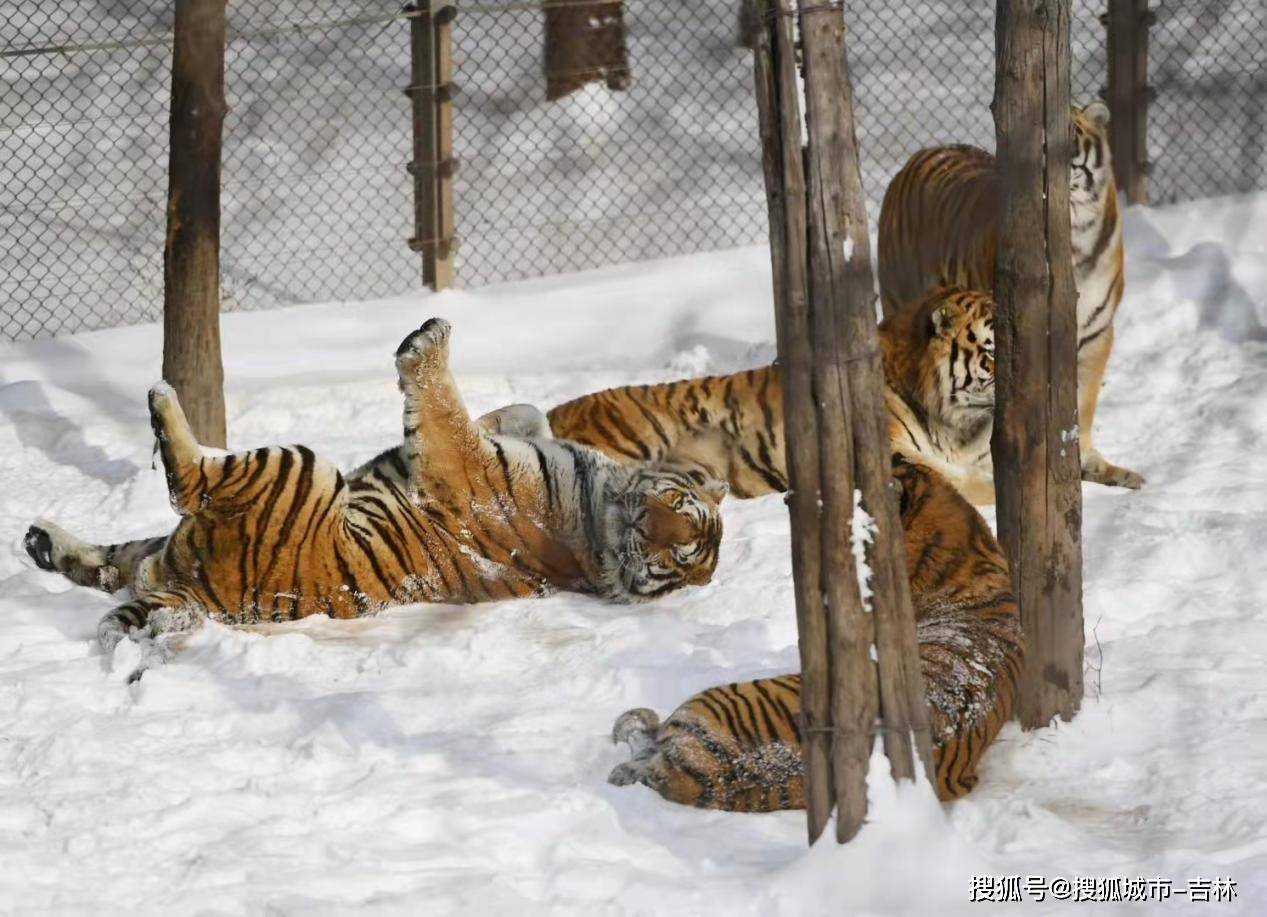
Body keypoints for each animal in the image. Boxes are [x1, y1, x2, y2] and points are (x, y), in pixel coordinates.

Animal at [22, 315, 724, 668]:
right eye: (679, 513)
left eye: (677, 555)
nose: (647, 531)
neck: (598, 510)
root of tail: (190, 593)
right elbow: (524, 412)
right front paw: (507, 413)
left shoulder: (461, 464)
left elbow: (445, 407)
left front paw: (428, 340)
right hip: (164, 551)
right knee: (116, 564)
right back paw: (40, 542)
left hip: (296, 467)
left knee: (184, 483)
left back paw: (161, 396)